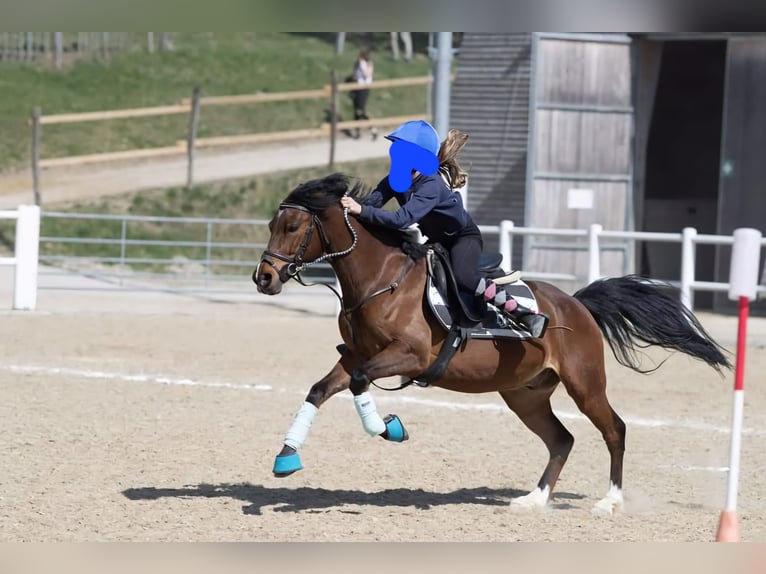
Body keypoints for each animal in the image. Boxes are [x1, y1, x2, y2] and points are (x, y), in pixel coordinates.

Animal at [255, 173, 736, 516]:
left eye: (293, 226)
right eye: (271, 225)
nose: (264, 277)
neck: (380, 281)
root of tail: (576, 303)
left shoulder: (406, 356)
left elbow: (357, 383)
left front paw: (389, 428)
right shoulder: (359, 354)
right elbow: (320, 389)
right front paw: (286, 459)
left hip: (585, 384)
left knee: (614, 430)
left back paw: (610, 501)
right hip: (525, 394)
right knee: (561, 440)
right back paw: (535, 500)